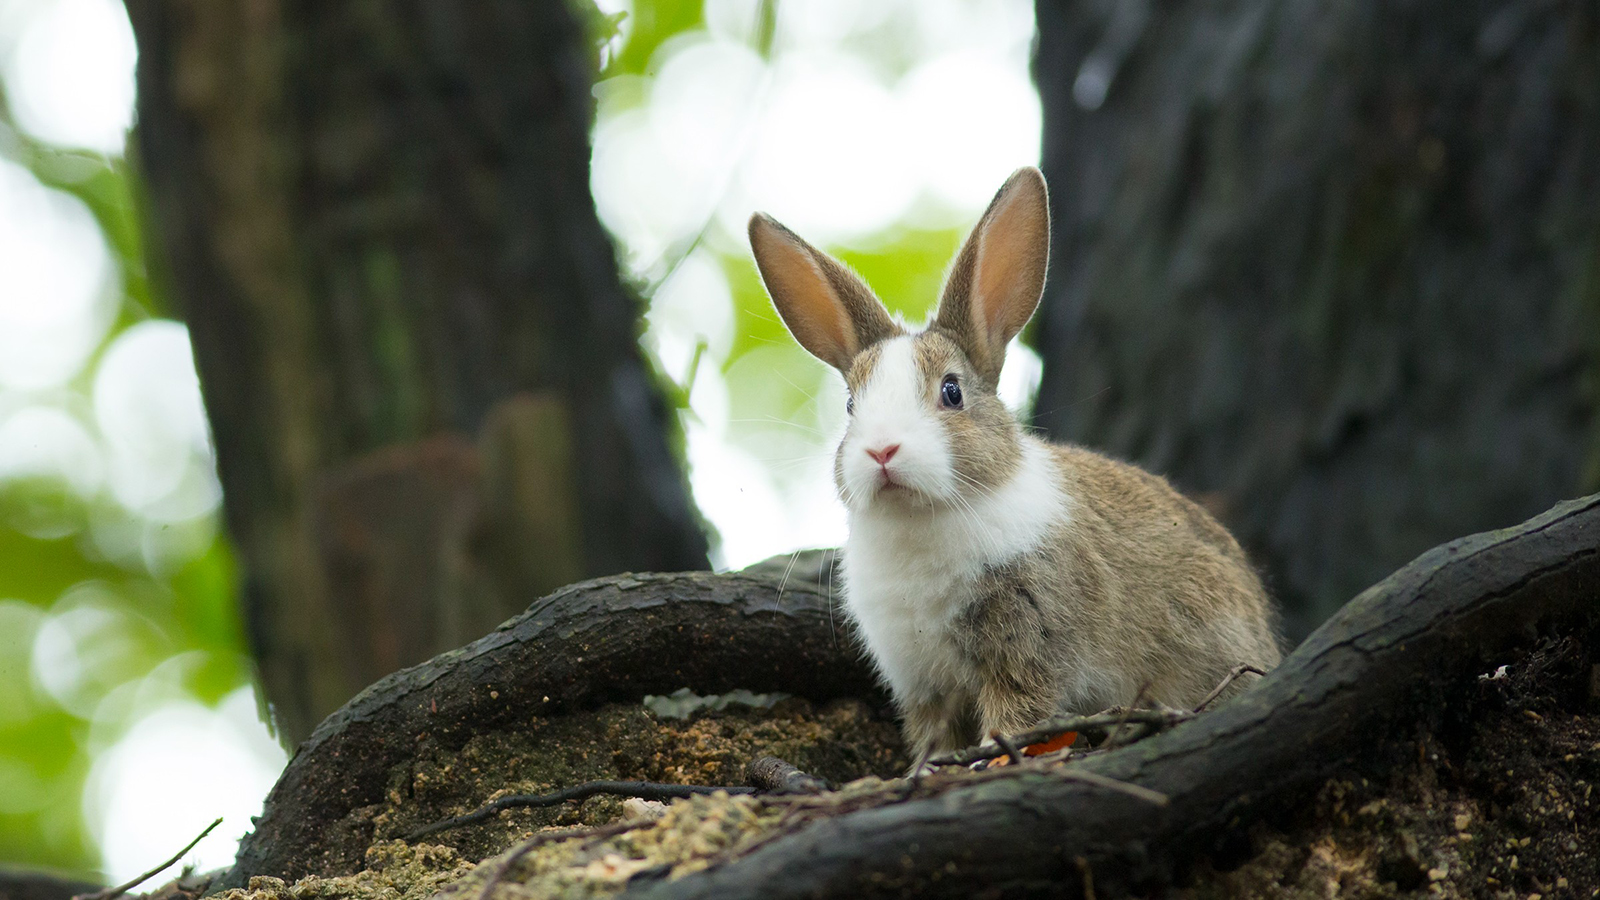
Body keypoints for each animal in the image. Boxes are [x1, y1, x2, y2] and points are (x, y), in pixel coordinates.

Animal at [748, 164, 1286, 768]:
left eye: (952, 392)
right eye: (849, 406)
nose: (882, 451)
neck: (919, 519)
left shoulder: (1027, 647)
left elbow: (1017, 713)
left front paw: (992, 758)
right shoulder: (923, 683)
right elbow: (936, 735)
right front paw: (927, 768)